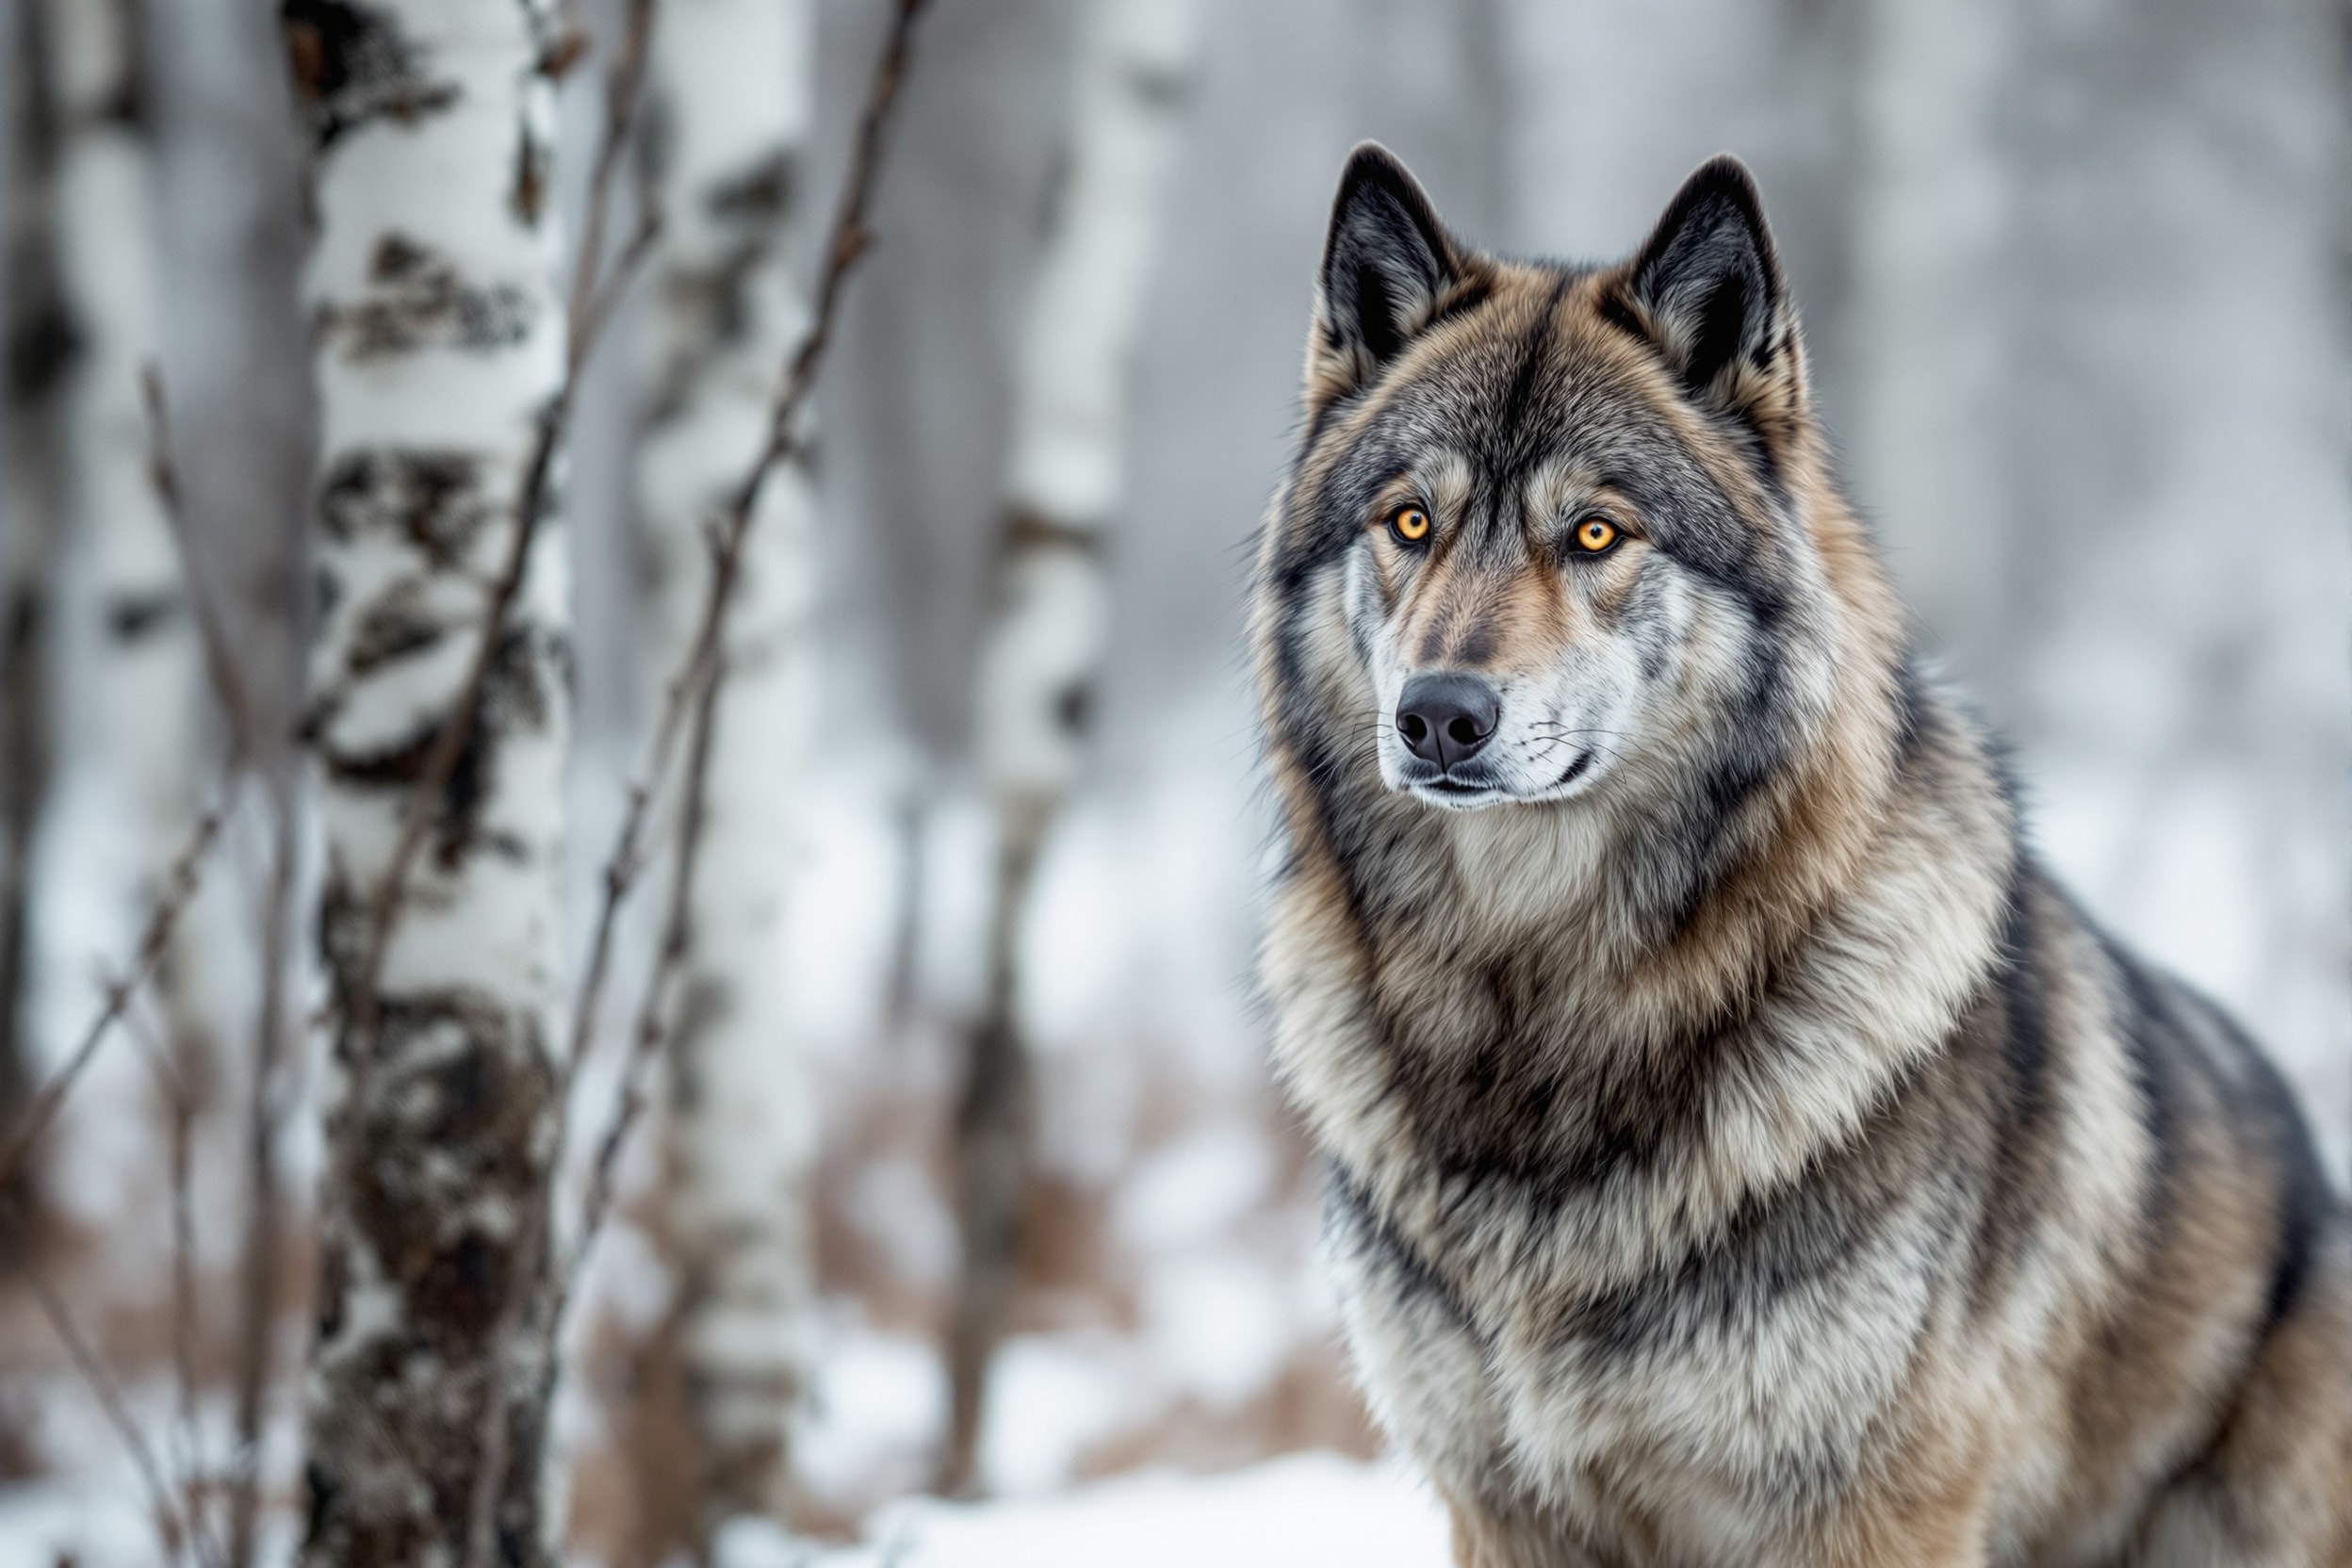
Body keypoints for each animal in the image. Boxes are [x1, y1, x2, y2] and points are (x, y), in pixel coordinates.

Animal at [1251, 143, 2352, 1567]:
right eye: (1409, 523)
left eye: (1596, 534)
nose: (1438, 716)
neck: (1540, 1025)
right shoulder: (1501, 1508)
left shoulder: (1873, 1510)